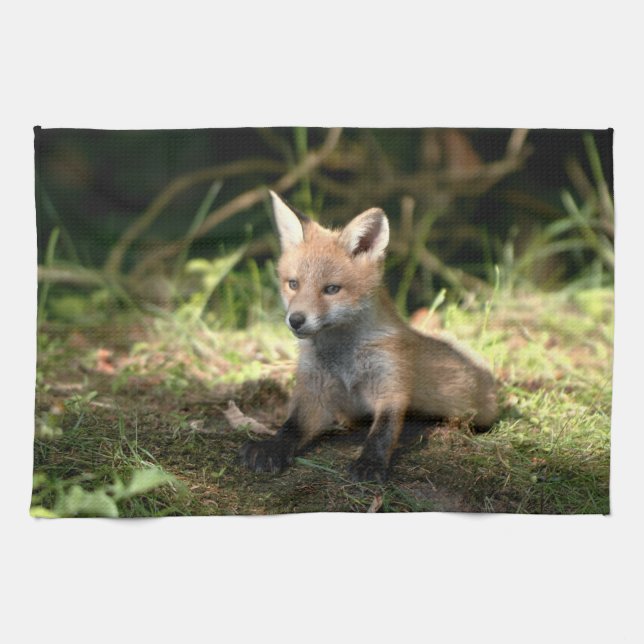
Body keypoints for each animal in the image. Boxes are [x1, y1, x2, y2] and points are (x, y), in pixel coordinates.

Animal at [239, 191, 498, 482]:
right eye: (293, 284)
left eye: (331, 289)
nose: (296, 320)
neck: (344, 358)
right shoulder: (314, 390)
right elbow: (291, 427)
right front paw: (271, 447)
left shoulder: (390, 383)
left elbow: (383, 432)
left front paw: (370, 463)